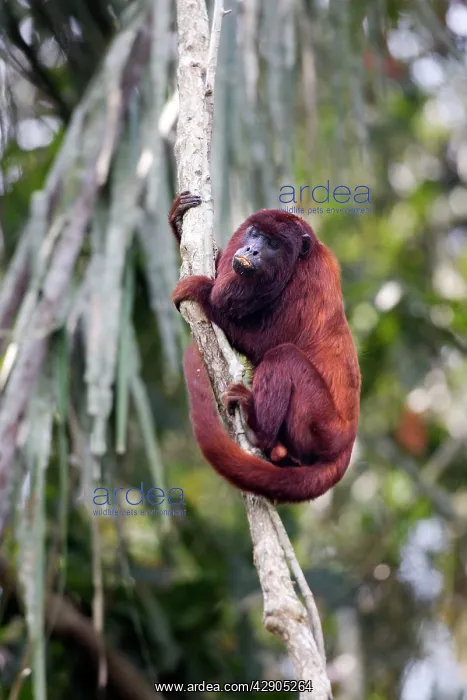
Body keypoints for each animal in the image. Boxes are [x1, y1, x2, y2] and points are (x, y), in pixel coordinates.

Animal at [168, 191, 361, 503]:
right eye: (255, 234)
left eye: (272, 245)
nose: (252, 249)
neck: (299, 261)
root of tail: (345, 447)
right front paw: (176, 218)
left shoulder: (306, 284)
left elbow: (266, 343)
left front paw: (201, 291)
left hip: (322, 428)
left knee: (283, 356)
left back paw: (258, 428)